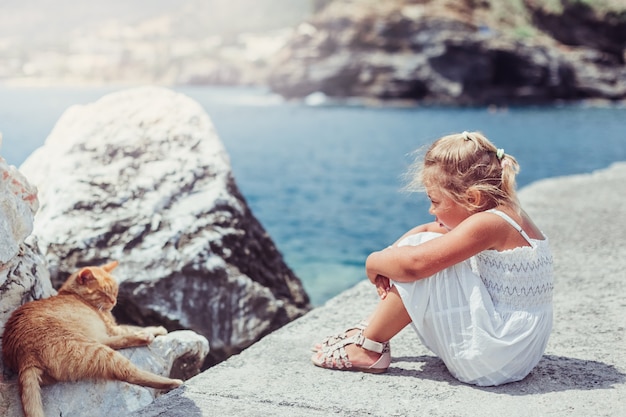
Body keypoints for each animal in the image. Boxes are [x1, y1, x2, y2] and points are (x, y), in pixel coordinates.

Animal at [2, 260, 182, 416]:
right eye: (103, 293)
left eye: (115, 291)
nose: (114, 301)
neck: (73, 294)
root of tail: (24, 357)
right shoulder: (113, 327)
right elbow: (133, 327)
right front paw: (156, 329)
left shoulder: (110, 329)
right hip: (94, 349)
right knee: (130, 372)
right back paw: (172, 380)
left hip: (93, 342)